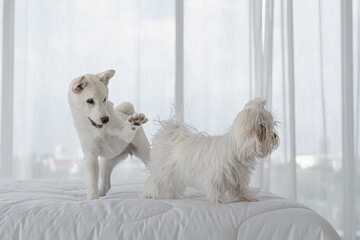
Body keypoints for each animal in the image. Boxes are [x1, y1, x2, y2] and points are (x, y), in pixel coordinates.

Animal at [69, 70, 149, 201]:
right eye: (90, 101)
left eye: (104, 99)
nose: (106, 119)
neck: (99, 131)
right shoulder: (91, 156)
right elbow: (92, 182)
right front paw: (91, 198)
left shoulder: (123, 134)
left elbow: (126, 130)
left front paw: (134, 123)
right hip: (105, 164)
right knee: (106, 185)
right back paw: (100, 193)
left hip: (145, 154)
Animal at [142, 98, 280, 203]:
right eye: (262, 127)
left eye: (270, 125)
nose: (274, 135)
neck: (237, 148)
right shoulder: (217, 175)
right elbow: (215, 187)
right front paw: (218, 200)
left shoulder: (238, 175)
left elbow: (239, 188)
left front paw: (246, 198)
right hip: (166, 172)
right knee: (155, 181)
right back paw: (149, 194)